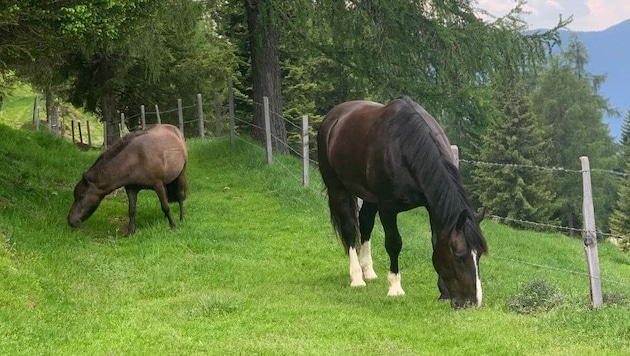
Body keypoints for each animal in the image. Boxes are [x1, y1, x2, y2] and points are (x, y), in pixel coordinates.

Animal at [318, 96, 492, 308]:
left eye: (479, 255)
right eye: (460, 257)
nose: (472, 302)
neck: (405, 147)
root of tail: (333, 117)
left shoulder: (431, 206)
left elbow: (436, 241)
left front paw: (443, 293)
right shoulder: (387, 207)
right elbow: (394, 243)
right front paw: (395, 288)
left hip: (369, 196)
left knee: (365, 224)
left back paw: (368, 271)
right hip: (337, 188)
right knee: (350, 228)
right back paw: (357, 277)